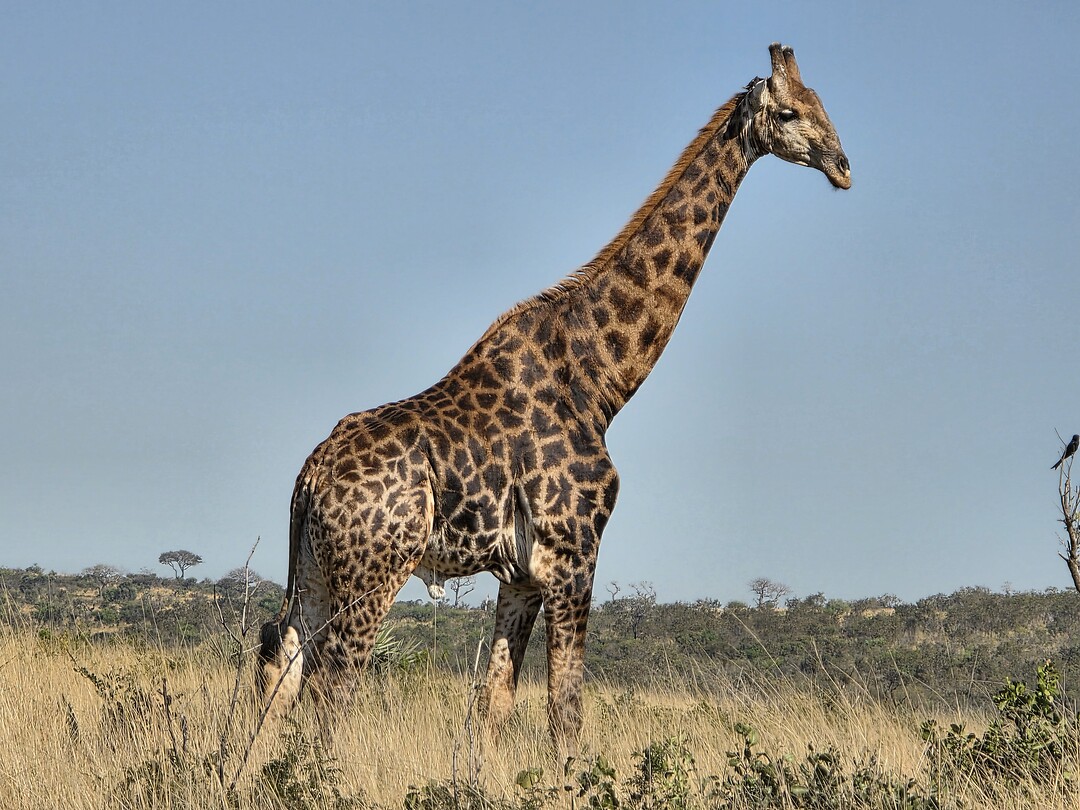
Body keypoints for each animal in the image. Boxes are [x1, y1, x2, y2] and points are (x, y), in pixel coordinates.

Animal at [258, 43, 850, 754]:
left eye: (823, 102)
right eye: (789, 113)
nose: (843, 167)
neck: (601, 382)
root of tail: (310, 476)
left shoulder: (520, 576)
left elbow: (491, 711)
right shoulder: (574, 554)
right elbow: (564, 715)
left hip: (315, 576)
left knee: (278, 677)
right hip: (372, 574)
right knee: (330, 694)